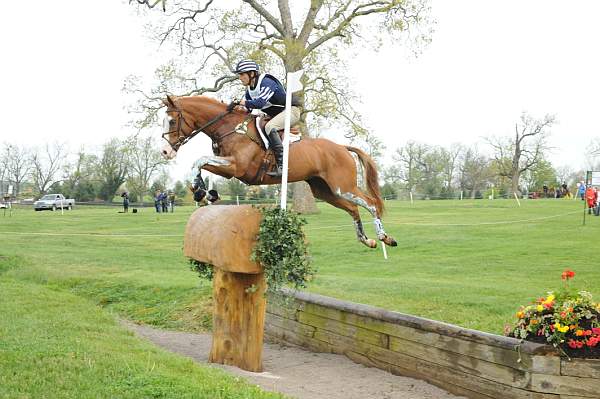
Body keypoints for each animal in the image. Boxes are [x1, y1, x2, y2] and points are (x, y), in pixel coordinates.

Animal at [159, 94, 396, 250]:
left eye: (171, 120)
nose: (165, 151)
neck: (230, 129)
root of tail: (341, 148)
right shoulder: (230, 169)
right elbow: (201, 165)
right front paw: (204, 193)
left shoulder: (237, 167)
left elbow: (199, 160)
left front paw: (200, 192)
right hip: (325, 191)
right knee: (353, 209)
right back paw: (367, 240)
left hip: (342, 186)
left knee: (371, 204)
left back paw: (385, 237)